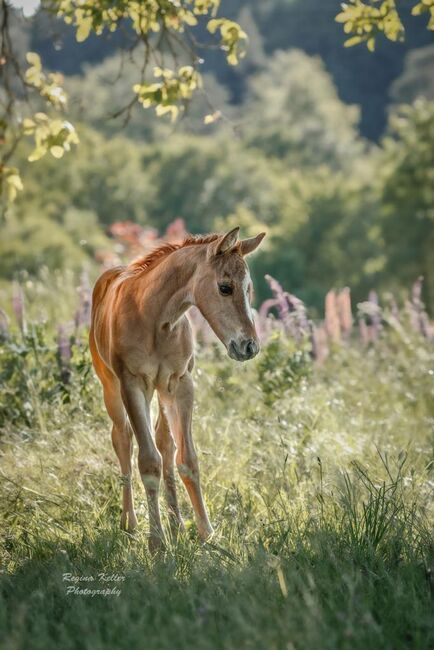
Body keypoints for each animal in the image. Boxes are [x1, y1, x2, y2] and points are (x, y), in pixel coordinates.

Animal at [88, 227, 264, 548]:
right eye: (225, 287)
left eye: (249, 288)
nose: (249, 346)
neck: (155, 318)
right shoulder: (133, 385)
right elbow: (148, 462)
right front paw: (157, 543)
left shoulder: (180, 384)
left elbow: (187, 458)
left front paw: (207, 534)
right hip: (111, 388)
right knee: (122, 439)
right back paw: (130, 522)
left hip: (161, 392)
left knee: (165, 444)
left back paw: (177, 523)